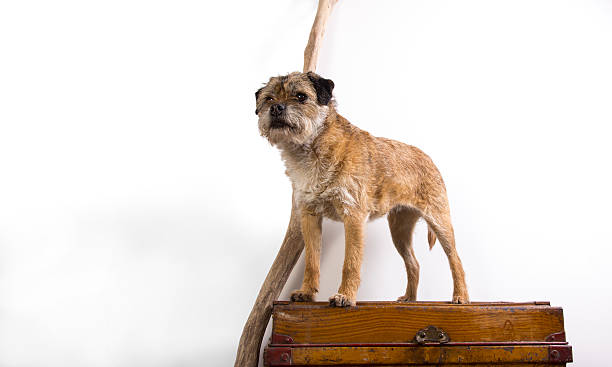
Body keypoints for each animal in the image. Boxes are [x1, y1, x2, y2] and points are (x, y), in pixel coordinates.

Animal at [255, 72, 468, 308]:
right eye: (269, 99)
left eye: (301, 97)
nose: (276, 108)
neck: (312, 148)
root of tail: (428, 158)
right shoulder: (309, 217)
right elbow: (311, 260)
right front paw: (307, 292)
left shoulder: (353, 216)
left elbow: (351, 262)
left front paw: (346, 296)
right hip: (399, 230)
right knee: (414, 263)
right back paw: (410, 299)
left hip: (440, 221)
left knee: (455, 259)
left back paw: (460, 296)